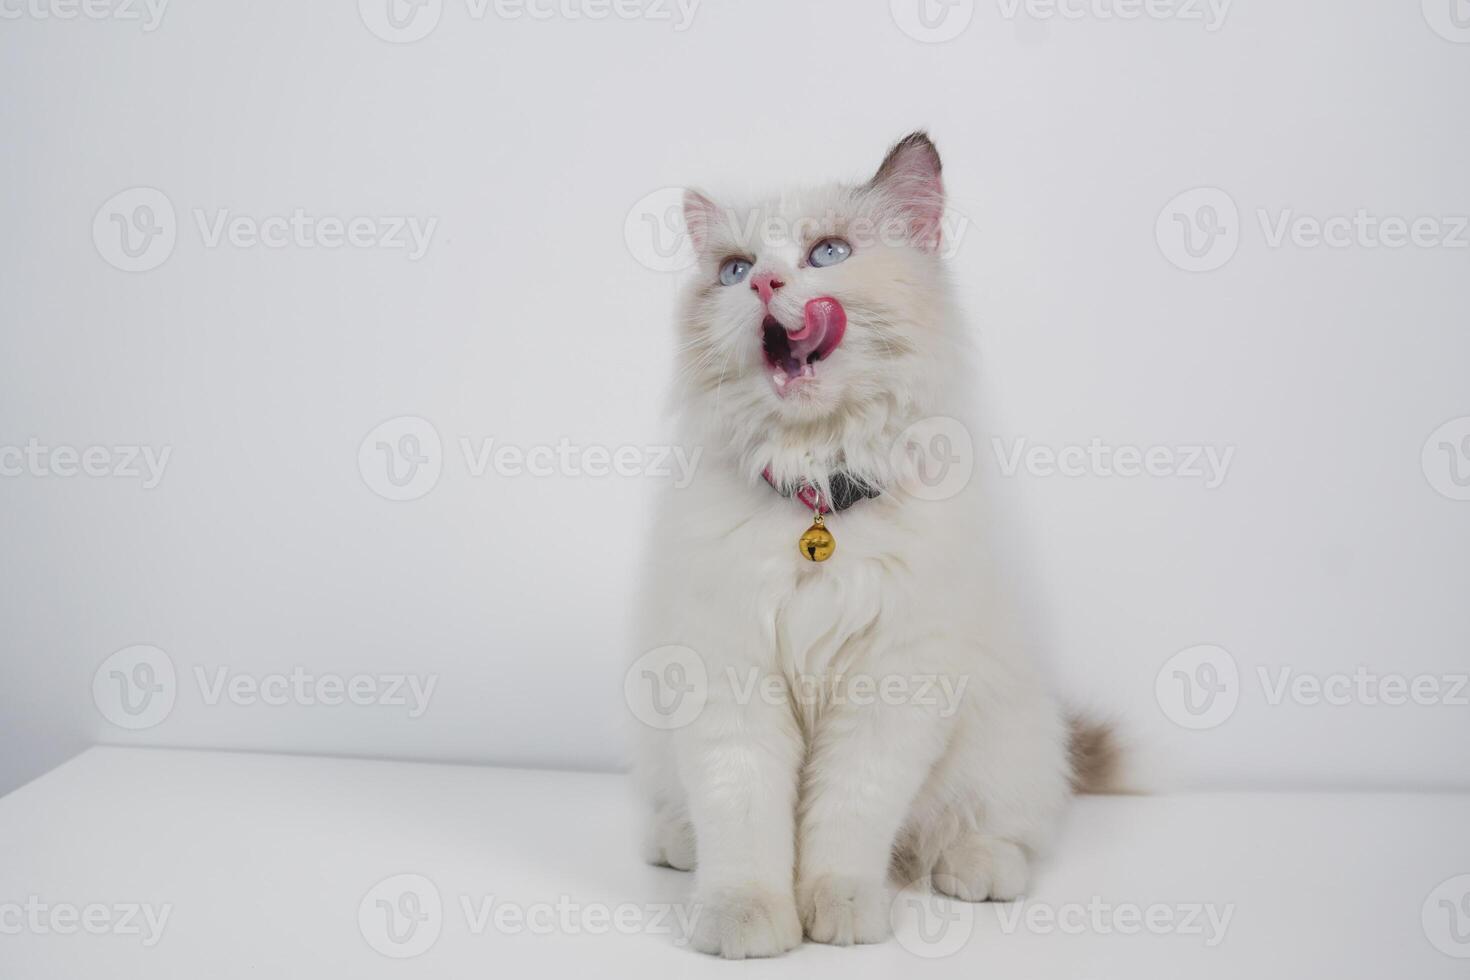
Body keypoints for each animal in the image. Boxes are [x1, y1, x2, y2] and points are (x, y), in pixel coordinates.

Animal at [629, 134, 1111, 963]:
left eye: (828, 253)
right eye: (733, 269)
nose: (765, 282)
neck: (818, 492)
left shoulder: (890, 690)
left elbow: (846, 822)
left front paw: (843, 914)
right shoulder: (731, 682)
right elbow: (744, 822)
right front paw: (745, 922)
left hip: (1007, 742)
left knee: (998, 828)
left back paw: (978, 870)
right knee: (688, 819)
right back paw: (676, 846)